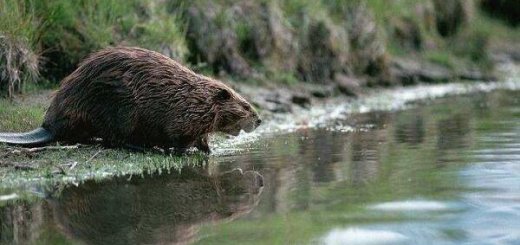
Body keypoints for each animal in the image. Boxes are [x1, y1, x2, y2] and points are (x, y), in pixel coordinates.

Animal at [0, 46, 260, 152]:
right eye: (246, 105)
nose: (258, 120)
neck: (194, 97)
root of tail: (49, 126)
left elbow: (202, 140)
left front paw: (209, 151)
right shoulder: (182, 116)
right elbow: (178, 138)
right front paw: (181, 150)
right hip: (120, 107)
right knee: (114, 139)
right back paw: (147, 147)